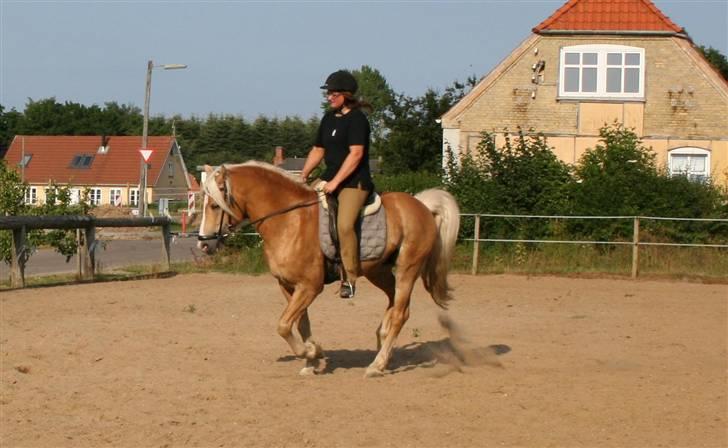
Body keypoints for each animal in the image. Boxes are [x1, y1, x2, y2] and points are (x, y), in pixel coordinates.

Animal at [198, 161, 460, 378]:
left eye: (214, 205)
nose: (203, 244)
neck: (290, 220)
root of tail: (422, 206)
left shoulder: (310, 286)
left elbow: (283, 325)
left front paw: (311, 352)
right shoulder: (288, 285)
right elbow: (300, 324)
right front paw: (311, 360)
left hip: (408, 267)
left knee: (400, 313)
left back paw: (377, 365)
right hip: (378, 271)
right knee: (393, 300)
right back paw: (382, 342)